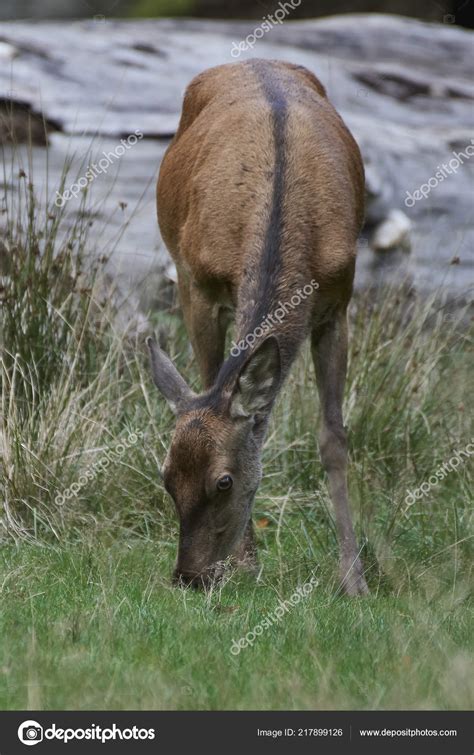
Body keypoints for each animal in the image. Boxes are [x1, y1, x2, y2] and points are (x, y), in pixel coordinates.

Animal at [146, 59, 368, 596]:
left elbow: (333, 439)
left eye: (223, 481)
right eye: (165, 476)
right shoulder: (198, 287)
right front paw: (246, 564)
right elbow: (213, 383)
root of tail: (252, 60)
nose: (189, 576)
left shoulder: (338, 301)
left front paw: (354, 580)